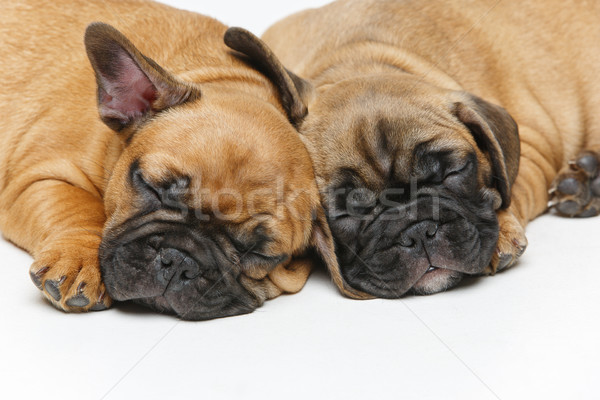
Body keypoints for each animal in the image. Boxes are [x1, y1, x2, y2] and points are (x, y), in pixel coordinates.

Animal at [0, 0, 338, 318]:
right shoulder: (36, 180)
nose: (178, 261)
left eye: (259, 254)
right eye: (152, 187)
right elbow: (77, 208)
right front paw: (80, 259)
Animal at [254, 0, 600, 298]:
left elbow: (513, 188)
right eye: (350, 209)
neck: (359, 59)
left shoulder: (532, 142)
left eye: (452, 173)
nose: (419, 231)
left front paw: (502, 229)